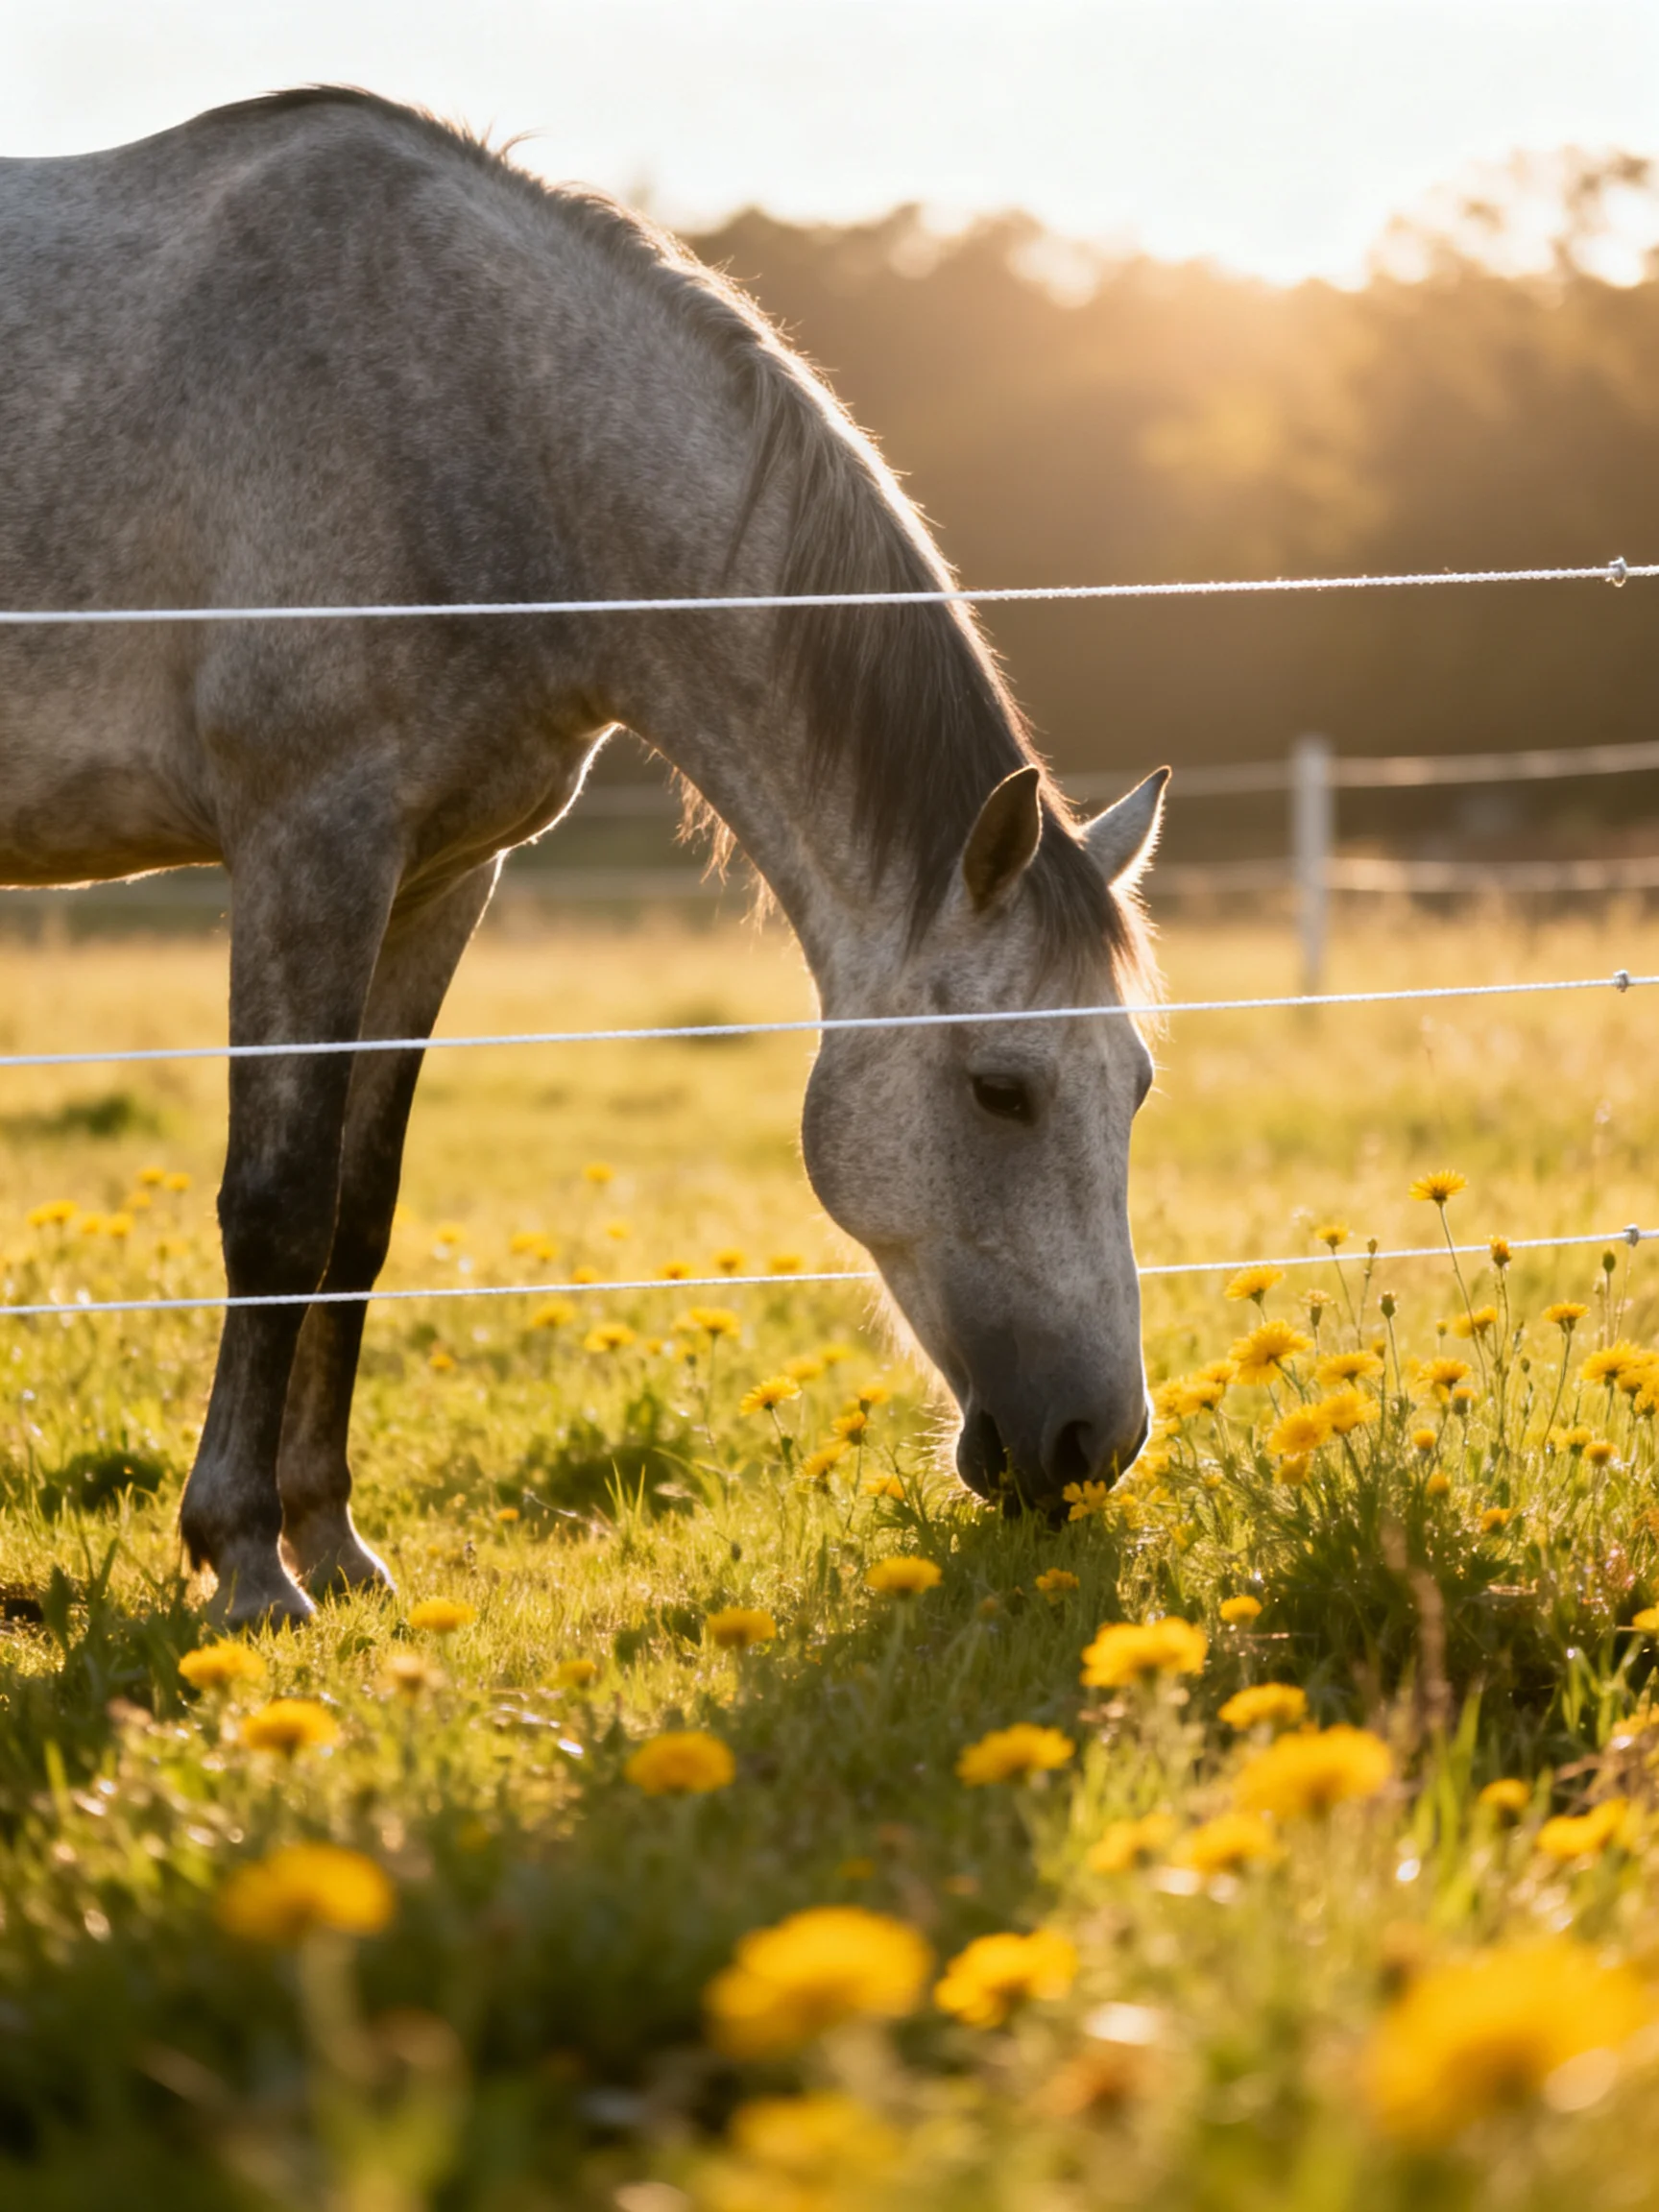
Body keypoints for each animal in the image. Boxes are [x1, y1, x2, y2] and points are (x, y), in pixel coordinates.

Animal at [0, 89, 1167, 1625]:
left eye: (1136, 1085)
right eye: (1001, 1092)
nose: (1095, 1444)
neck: (469, 410)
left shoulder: (439, 876)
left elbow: (357, 1217)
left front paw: (334, 1543)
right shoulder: (307, 845)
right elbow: (276, 1206)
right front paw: (246, 1559)